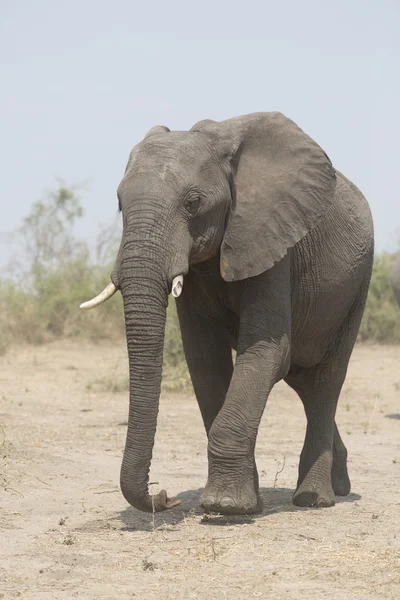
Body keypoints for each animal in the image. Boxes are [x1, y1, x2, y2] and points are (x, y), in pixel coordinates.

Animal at [81, 112, 376, 516]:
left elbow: (267, 351)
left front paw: (226, 506)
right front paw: (245, 501)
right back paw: (340, 485)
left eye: (193, 202)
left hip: (358, 282)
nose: (165, 496)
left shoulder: (271, 236)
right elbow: (205, 360)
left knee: (324, 380)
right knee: (301, 380)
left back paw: (314, 499)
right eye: (119, 203)